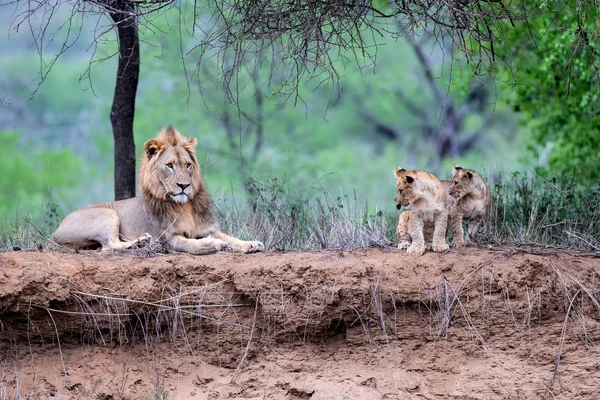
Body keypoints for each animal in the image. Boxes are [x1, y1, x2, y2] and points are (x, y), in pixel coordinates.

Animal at [52, 126, 264, 255]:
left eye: (188, 165)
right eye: (169, 165)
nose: (184, 186)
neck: (184, 206)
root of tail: (57, 230)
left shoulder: (206, 228)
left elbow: (230, 237)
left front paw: (251, 243)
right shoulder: (167, 239)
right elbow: (189, 243)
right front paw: (212, 244)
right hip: (107, 214)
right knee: (109, 246)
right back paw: (140, 242)